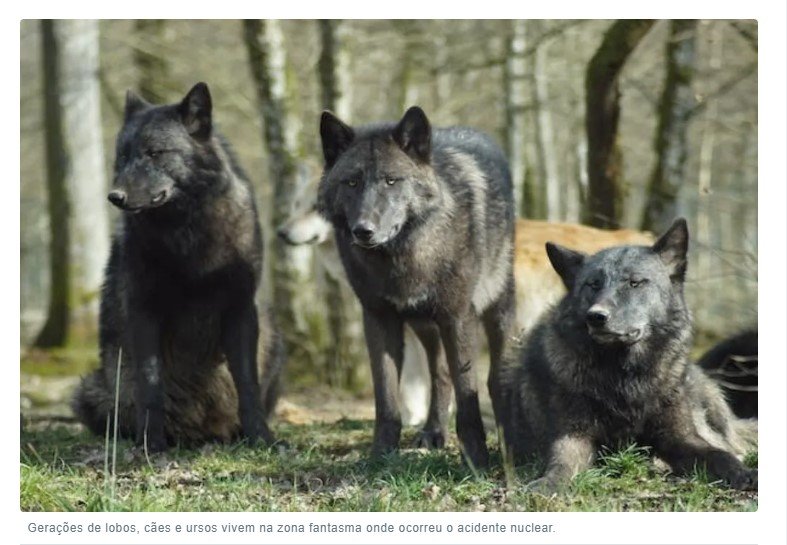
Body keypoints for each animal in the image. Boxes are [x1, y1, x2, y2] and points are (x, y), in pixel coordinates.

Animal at [72, 83, 284, 451]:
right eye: (122, 157)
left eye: (155, 153)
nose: (115, 196)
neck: (188, 233)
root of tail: (199, 433)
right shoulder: (144, 311)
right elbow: (151, 384)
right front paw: (151, 443)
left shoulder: (241, 309)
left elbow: (247, 383)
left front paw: (261, 437)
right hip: (92, 390)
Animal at [317, 106, 516, 467]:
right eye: (351, 181)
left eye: (391, 180)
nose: (363, 230)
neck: (402, 257)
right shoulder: (378, 319)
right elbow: (386, 398)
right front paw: (380, 456)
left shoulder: (457, 317)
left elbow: (468, 393)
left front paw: (476, 459)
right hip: (424, 325)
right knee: (440, 374)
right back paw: (434, 431)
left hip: (497, 307)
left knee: (494, 375)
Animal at [498, 218, 757, 492]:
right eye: (593, 284)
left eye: (634, 282)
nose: (596, 316)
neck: (625, 377)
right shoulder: (573, 437)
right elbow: (562, 464)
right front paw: (547, 485)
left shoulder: (682, 437)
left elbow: (719, 455)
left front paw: (743, 473)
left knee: (729, 442)